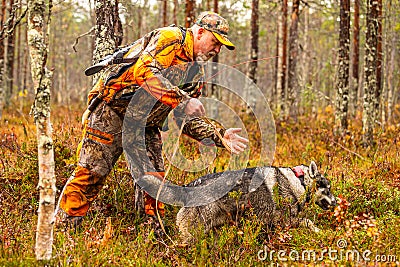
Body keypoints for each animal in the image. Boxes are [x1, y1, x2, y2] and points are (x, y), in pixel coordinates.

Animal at [177, 161, 336, 243]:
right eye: (327, 189)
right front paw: (320, 231)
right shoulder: (285, 220)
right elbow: (308, 222)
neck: (299, 180)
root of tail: (189, 186)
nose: (336, 202)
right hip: (195, 232)